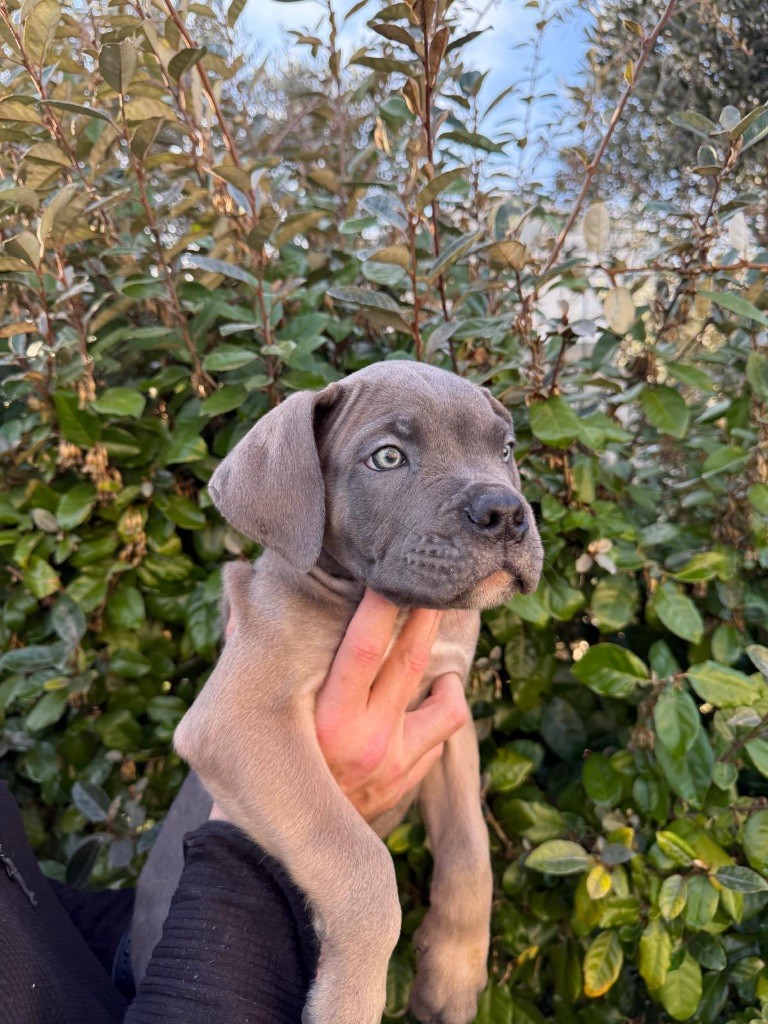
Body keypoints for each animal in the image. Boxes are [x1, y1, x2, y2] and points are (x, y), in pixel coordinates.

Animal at [132, 364, 544, 1024]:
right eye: (387, 457)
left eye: (504, 450)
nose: (505, 511)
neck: (392, 612)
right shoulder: (237, 719)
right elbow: (359, 861)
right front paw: (350, 999)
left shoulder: (448, 708)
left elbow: (470, 849)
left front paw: (452, 974)